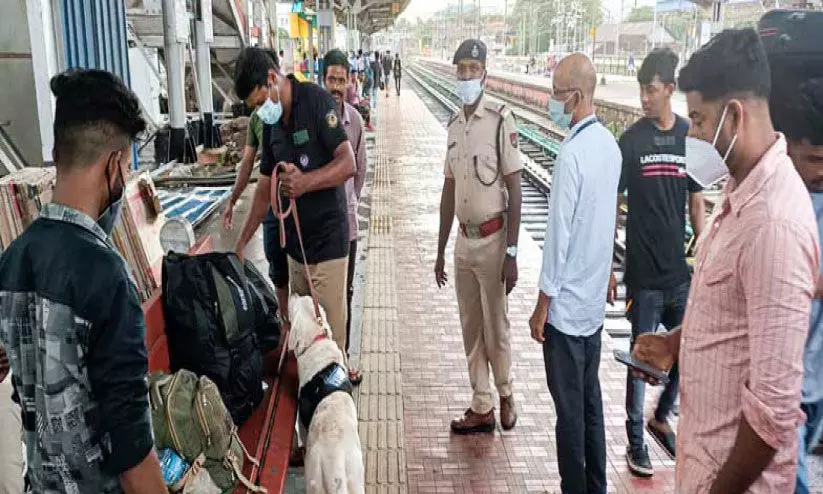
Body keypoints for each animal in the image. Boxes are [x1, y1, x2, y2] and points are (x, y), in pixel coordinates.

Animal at [292, 296, 366, 492]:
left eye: (292, 305)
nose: (294, 294)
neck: (316, 341)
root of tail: (336, 468)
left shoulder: (301, 421)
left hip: (314, 479)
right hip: (356, 479)